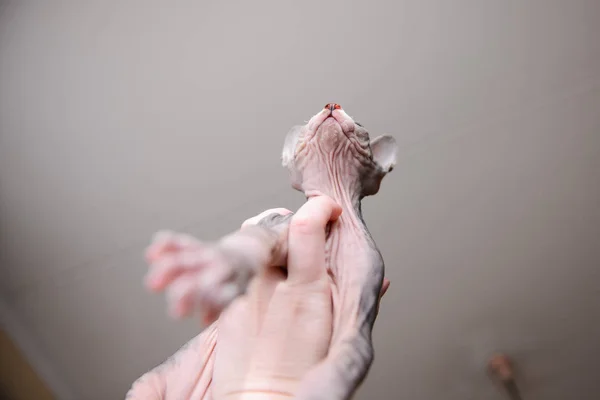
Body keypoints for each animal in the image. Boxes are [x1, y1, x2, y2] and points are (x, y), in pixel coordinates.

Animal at [126, 104, 398, 400]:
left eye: (359, 123)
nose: (332, 104)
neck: (331, 201)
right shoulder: (282, 221)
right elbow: (255, 238)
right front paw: (217, 263)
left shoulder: (363, 287)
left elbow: (350, 353)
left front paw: (318, 388)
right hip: (146, 385)